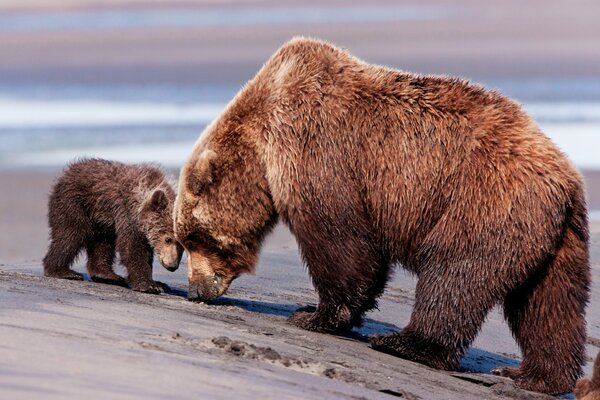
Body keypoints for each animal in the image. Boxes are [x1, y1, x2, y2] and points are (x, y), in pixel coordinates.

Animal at [173, 37, 592, 394]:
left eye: (193, 238)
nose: (196, 290)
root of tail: (567, 179)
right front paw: (319, 310)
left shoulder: (316, 147)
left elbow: (340, 241)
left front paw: (314, 315)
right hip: (557, 239)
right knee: (549, 305)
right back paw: (531, 375)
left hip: (484, 200)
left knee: (455, 272)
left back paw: (404, 342)